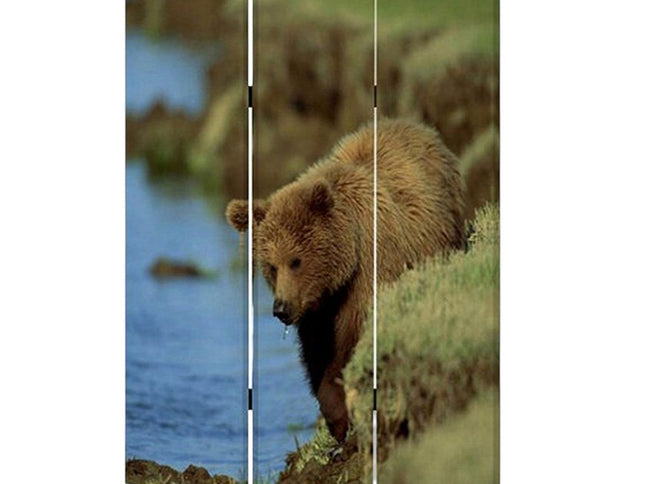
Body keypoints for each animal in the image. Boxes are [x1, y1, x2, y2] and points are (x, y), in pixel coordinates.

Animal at [226, 118, 465, 442]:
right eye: (271, 266)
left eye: (296, 261)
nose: (281, 309)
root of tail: (420, 128)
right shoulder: (316, 312)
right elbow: (318, 354)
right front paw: (336, 418)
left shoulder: (369, 275)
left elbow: (350, 342)